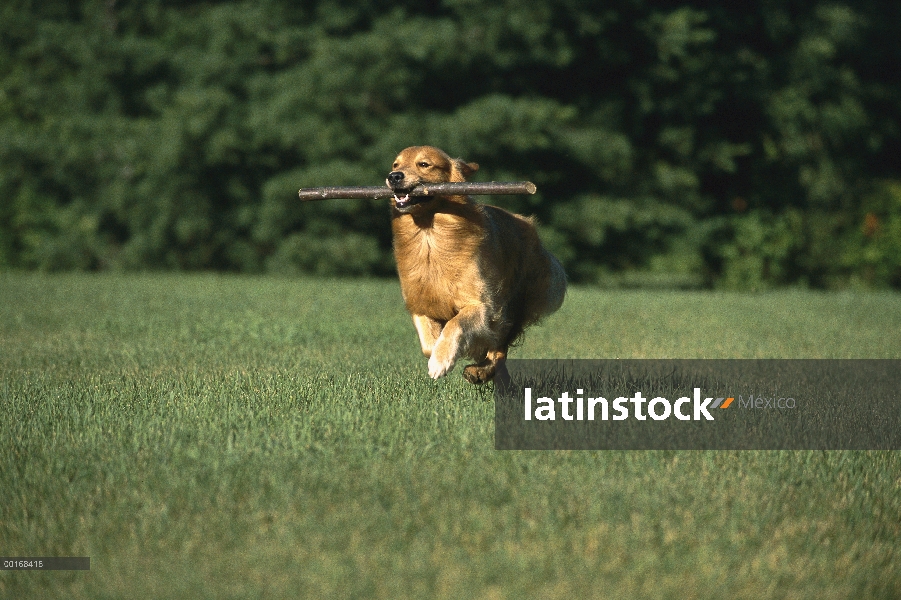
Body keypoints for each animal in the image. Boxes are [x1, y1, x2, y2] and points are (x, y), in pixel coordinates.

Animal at [384, 144, 568, 384]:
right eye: (395, 164)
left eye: (424, 164)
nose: (393, 176)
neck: (429, 235)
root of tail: (527, 224)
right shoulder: (419, 303)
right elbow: (428, 345)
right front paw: (441, 354)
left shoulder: (482, 305)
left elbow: (455, 324)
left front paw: (441, 361)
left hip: (513, 304)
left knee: (499, 348)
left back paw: (481, 371)